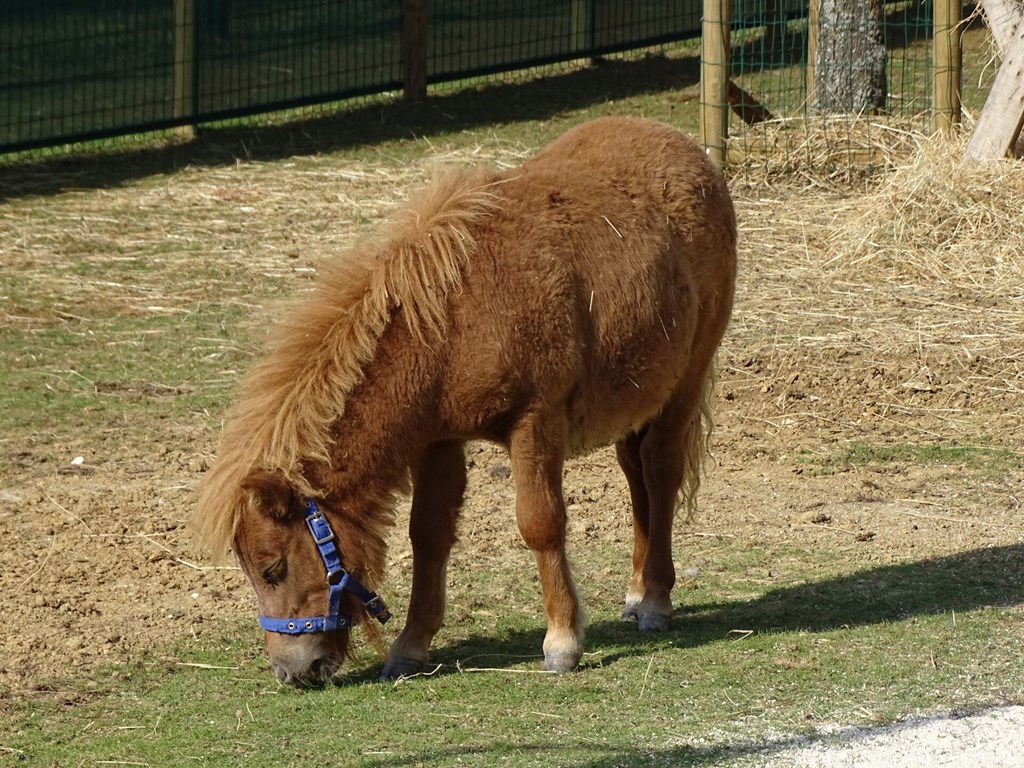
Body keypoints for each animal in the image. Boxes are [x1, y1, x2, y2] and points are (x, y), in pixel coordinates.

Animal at [192, 117, 737, 688]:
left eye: (273, 567)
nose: (293, 671)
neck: (451, 325)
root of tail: (687, 149)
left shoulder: (534, 421)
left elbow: (540, 523)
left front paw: (562, 641)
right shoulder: (439, 439)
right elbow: (428, 535)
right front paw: (410, 646)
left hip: (686, 377)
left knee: (659, 470)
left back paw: (655, 600)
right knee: (635, 475)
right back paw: (635, 592)